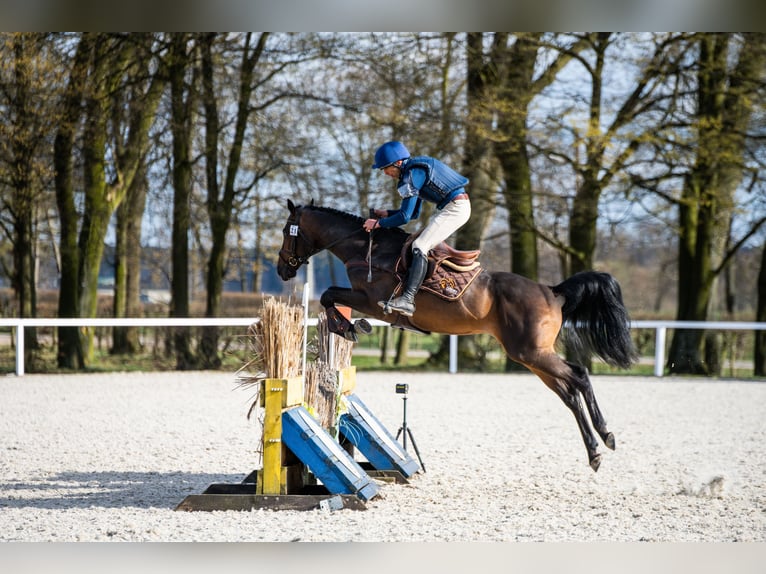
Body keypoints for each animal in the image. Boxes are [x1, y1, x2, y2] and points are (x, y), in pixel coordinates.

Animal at [277, 199, 637, 472]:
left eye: (285, 231)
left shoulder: (372, 302)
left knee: (579, 375)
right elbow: (330, 298)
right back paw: (594, 451)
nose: (282, 270)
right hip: (531, 356)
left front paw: (350, 328)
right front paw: (350, 327)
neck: (367, 249)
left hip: (532, 353)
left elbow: (328, 295)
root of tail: (553, 291)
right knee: (569, 393)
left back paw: (605, 435)